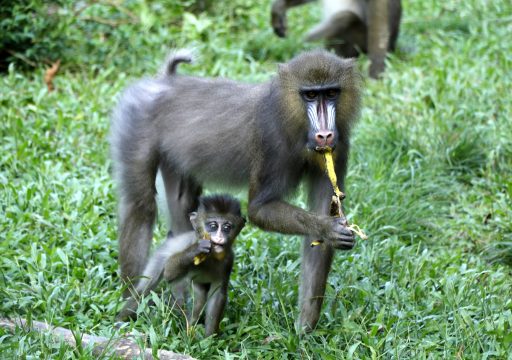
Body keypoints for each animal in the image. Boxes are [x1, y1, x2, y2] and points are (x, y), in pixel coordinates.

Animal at [117, 195, 245, 336]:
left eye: (227, 227)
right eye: (213, 226)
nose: (219, 237)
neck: (212, 257)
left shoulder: (229, 260)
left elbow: (217, 294)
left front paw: (210, 337)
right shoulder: (188, 244)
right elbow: (169, 273)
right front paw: (195, 250)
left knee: (199, 298)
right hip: (161, 256)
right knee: (144, 290)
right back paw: (120, 320)